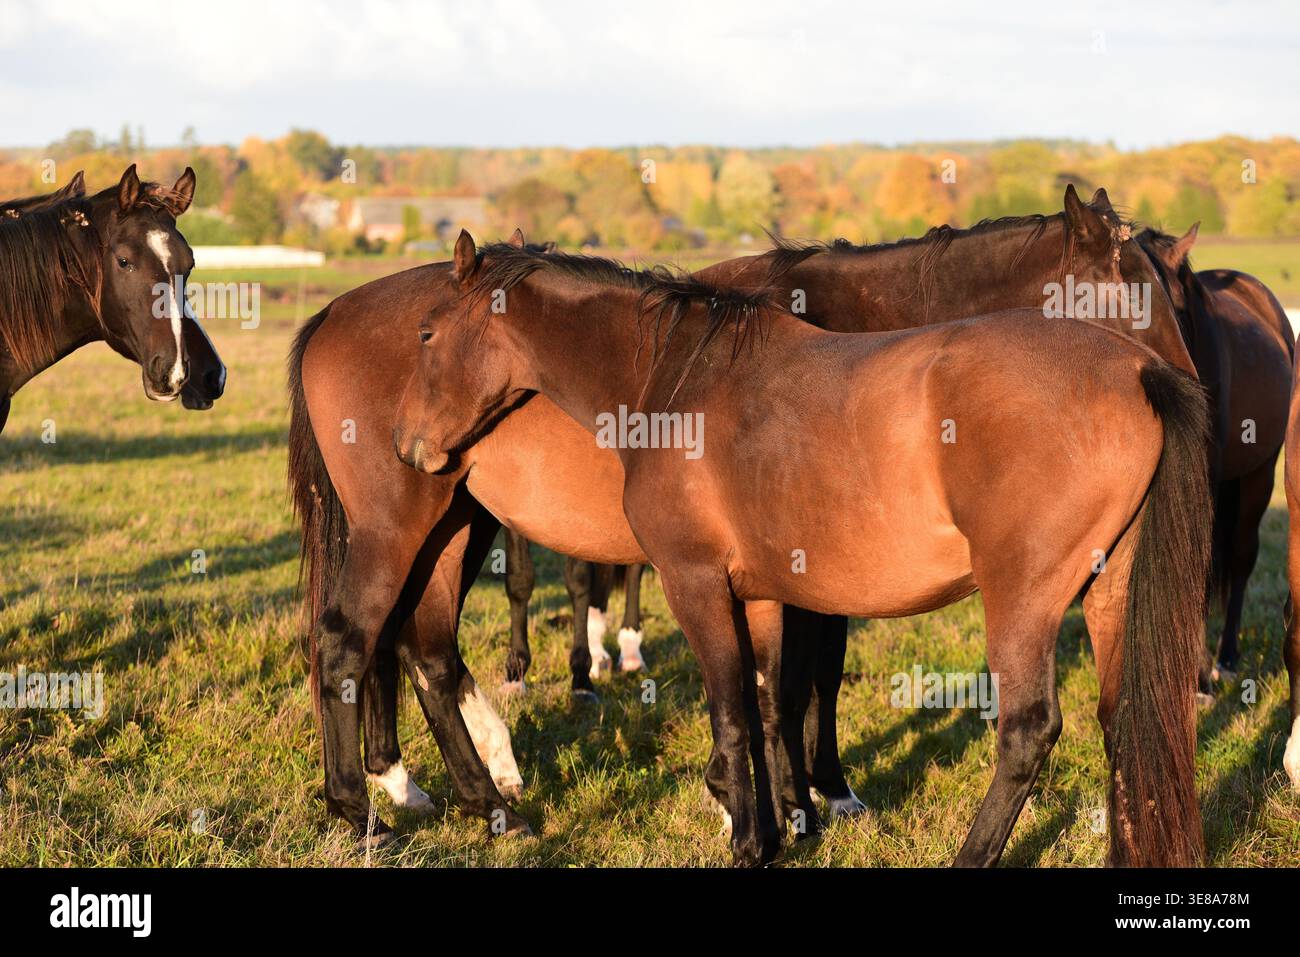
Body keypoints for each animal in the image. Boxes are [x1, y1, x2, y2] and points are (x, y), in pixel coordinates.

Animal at [289, 187, 1201, 846]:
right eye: (1132, 290)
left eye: (1177, 290)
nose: (1201, 391)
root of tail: (333, 311)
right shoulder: (769, 579)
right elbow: (782, 687)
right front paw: (788, 800)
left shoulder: (754, 576)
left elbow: (771, 691)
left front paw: (787, 803)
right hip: (416, 523)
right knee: (369, 641)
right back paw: (395, 799)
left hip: (446, 525)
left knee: (412, 648)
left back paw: (441, 793)